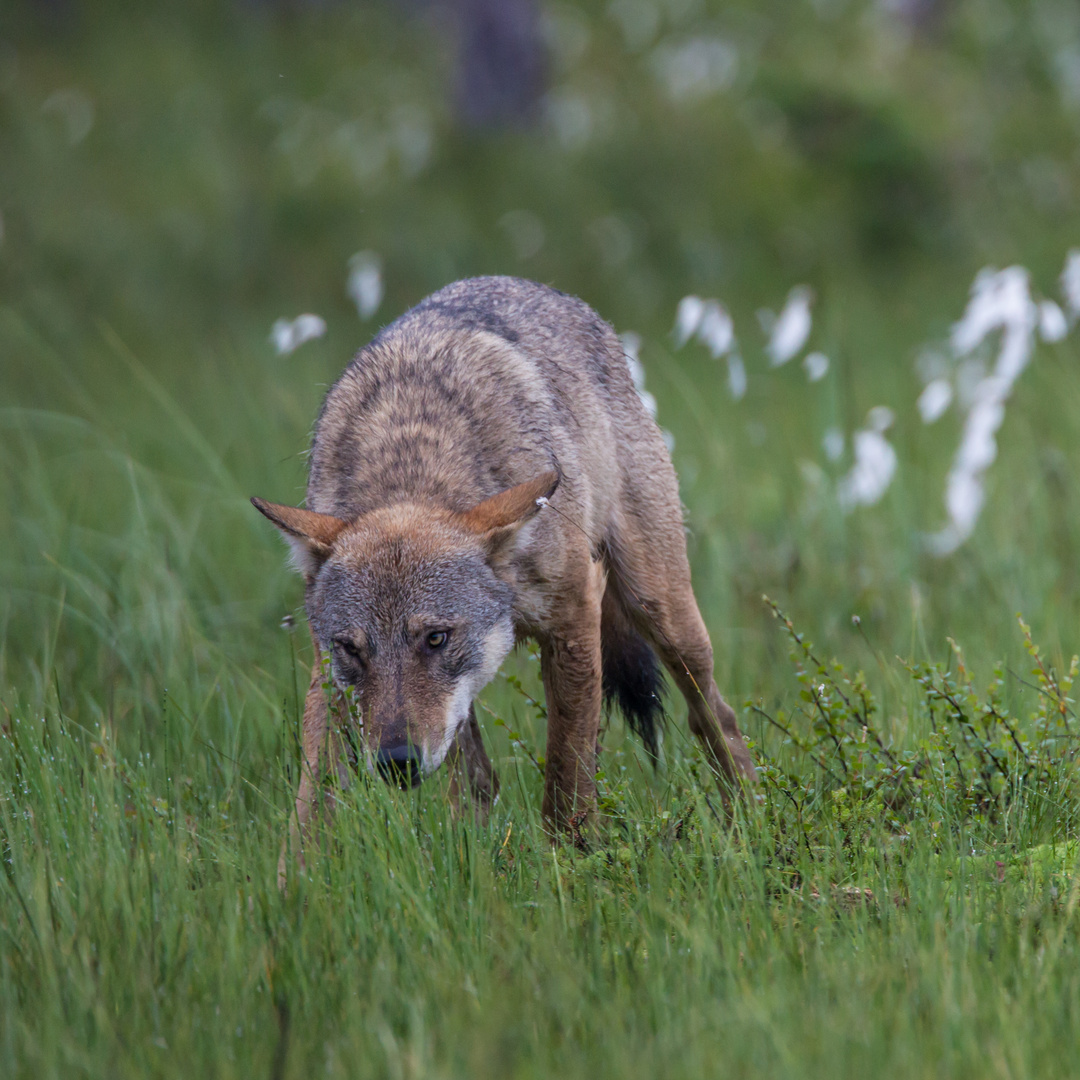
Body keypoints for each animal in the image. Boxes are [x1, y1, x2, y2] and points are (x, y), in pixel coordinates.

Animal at [255, 276, 756, 876]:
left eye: (436, 638)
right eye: (352, 649)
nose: (397, 762)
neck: (412, 458)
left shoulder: (574, 616)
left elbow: (566, 777)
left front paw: (573, 870)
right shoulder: (328, 677)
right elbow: (312, 802)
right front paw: (294, 889)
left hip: (662, 615)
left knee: (716, 718)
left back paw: (753, 826)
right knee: (478, 781)